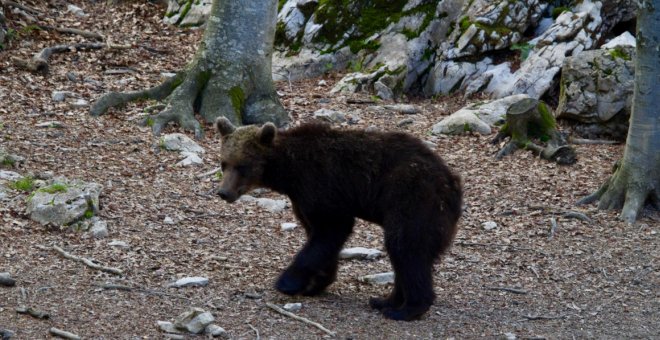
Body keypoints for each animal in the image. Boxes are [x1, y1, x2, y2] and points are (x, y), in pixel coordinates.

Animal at [214, 117, 462, 322]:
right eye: (224, 163)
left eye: (242, 166)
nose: (224, 192)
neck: (289, 173)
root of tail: (452, 183)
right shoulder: (303, 199)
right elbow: (319, 236)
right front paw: (316, 282)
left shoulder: (322, 184)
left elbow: (332, 228)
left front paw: (287, 282)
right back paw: (385, 300)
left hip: (411, 198)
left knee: (405, 247)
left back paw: (406, 309)